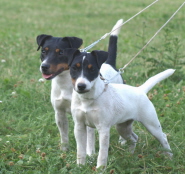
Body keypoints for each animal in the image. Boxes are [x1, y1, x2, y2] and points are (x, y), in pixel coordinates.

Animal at [36, 19, 124, 154]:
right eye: (43, 51)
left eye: (61, 52)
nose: (44, 67)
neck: (66, 85)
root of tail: (109, 64)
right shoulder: (59, 112)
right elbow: (64, 134)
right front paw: (64, 150)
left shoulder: (87, 115)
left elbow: (89, 137)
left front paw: (90, 154)